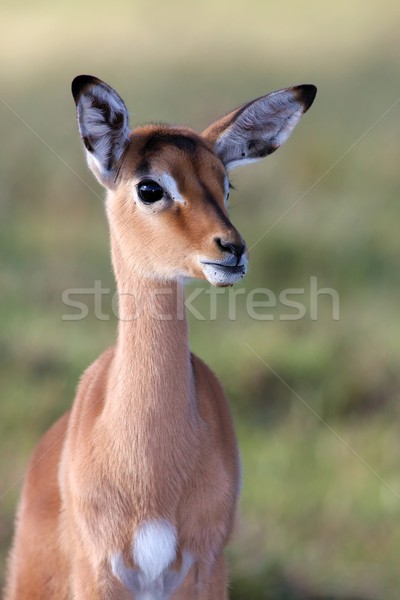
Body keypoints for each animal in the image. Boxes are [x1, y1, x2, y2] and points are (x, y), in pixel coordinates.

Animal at [3, 76, 316, 600]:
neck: (151, 474)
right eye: (150, 187)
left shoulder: (205, 567)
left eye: (226, 184)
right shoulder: (100, 572)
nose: (233, 249)